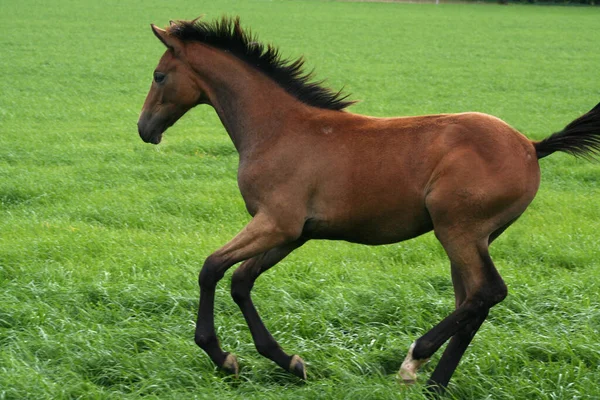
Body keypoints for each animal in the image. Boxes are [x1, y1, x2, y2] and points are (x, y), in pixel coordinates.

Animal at [138, 16, 600, 394]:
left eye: (159, 75)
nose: (145, 129)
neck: (277, 129)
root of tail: (532, 146)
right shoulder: (292, 235)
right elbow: (241, 281)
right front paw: (291, 363)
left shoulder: (276, 224)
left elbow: (211, 268)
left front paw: (222, 356)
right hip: (474, 237)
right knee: (473, 303)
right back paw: (435, 384)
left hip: (459, 230)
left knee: (488, 292)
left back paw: (414, 361)